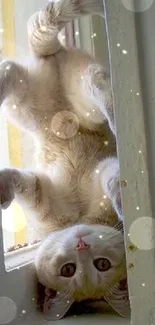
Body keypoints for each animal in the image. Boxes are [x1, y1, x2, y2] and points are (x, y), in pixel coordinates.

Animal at [0, 0, 129, 318]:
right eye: (68, 270)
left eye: (101, 265)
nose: (81, 245)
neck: (78, 218)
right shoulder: (40, 190)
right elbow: (19, 179)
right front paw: (2, 189)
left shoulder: (95, 172)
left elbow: (111, 176)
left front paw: (122, 200)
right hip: (31, 103)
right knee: (9, 69)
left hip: (53, 100)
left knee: (99, 86)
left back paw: (117, 122)